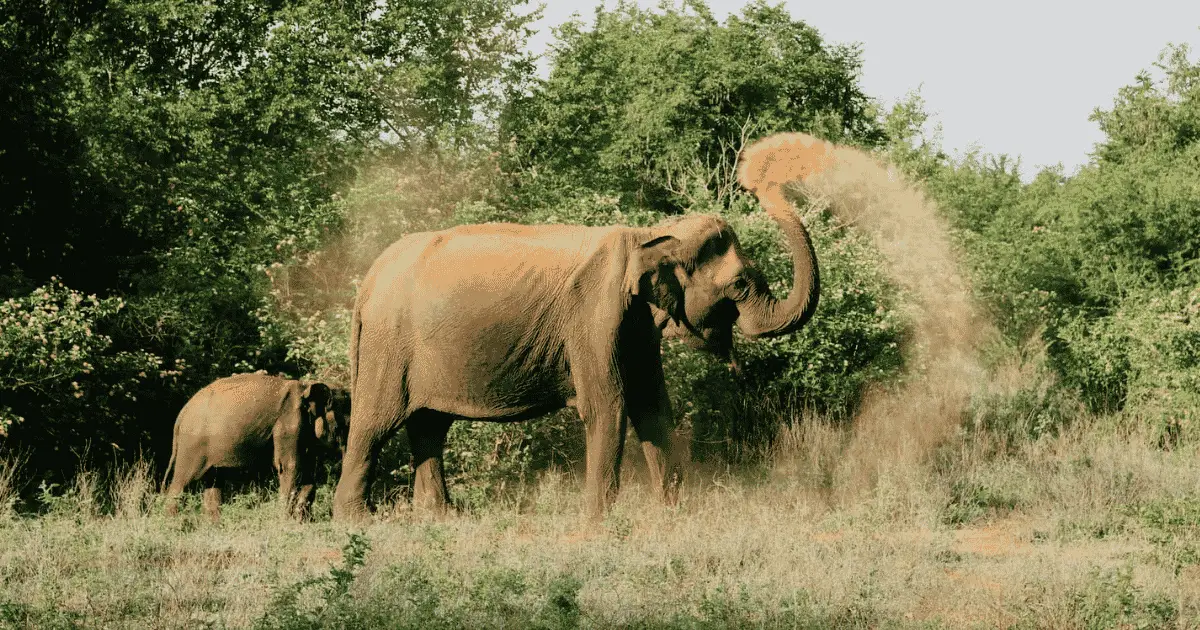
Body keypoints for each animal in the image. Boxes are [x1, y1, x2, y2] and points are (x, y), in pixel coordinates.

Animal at [162, 373, 350, 522]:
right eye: (345, 425)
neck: (306, 387)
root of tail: (181, 415)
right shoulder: (289, 423)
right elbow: (289, 466)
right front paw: (286, 522)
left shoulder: (305, 433)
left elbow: (307, 470)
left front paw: (302, 523)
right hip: (192, 444)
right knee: (183, 481)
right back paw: (174, 525)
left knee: (214, 481)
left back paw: (215, 526)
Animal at [332, 132, 822, 523]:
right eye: (740, 284)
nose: (763, 175)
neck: (647, 235)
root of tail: (368, 279)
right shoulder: (593, 315)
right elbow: (608, 407)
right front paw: (598, 526)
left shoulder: (634, 325)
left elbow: (653, 406)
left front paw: (674, 516)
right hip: (387, 345)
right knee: (374, 423)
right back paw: (357, 522)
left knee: (429, 425)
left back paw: (440, 518)